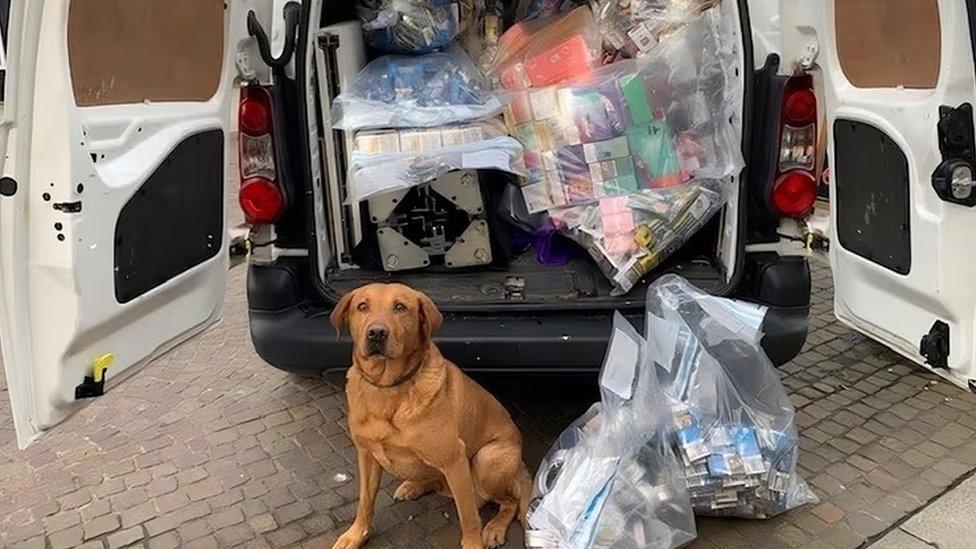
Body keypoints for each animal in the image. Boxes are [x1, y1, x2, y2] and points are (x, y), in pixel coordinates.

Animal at [330, 282, 528, 548]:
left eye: (400, 307)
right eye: (362, 306)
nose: (376, 333)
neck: (388, 388)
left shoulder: (454, 460)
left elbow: (468, 518)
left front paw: (473, 542)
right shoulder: (367, 455)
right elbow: (365, 502)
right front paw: (357, 534)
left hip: (487, 458)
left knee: (510, 501)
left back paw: (495, 526)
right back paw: (412, 486)